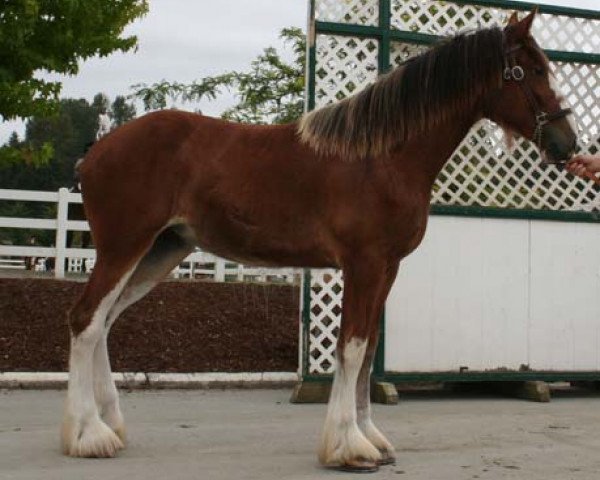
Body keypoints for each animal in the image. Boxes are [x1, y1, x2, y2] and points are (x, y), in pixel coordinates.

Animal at [61, 10, 576, 472]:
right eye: (529, 71)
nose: (566, 142)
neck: (382, 157)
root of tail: (97, 151)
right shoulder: (363, 264)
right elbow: (351, 346)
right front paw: (349, 447)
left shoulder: (388, 268)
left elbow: (367, 351)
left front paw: (371, 438)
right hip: (123, 248)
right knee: (86, 319)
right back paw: (87, 435)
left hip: (160, 251)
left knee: (104, 322)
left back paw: (109, 426)